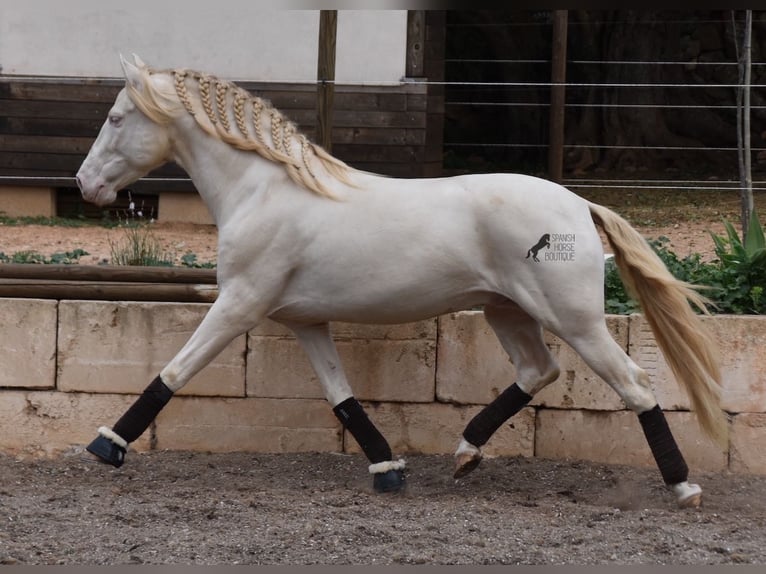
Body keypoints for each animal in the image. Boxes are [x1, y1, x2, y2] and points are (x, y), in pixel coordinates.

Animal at [75, 56, 728, 510]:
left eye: (114, 118)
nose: (85, 185)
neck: (262, 191)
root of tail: (578, 205)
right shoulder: (305, 320)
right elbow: (341, 397)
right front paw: (388, 471)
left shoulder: (240, 304)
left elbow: (174, 370)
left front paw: (107, 445)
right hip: (507, 311)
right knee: (538, 371)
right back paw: (464, 455)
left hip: (574, 319)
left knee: (634, 384)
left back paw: (684, 489)